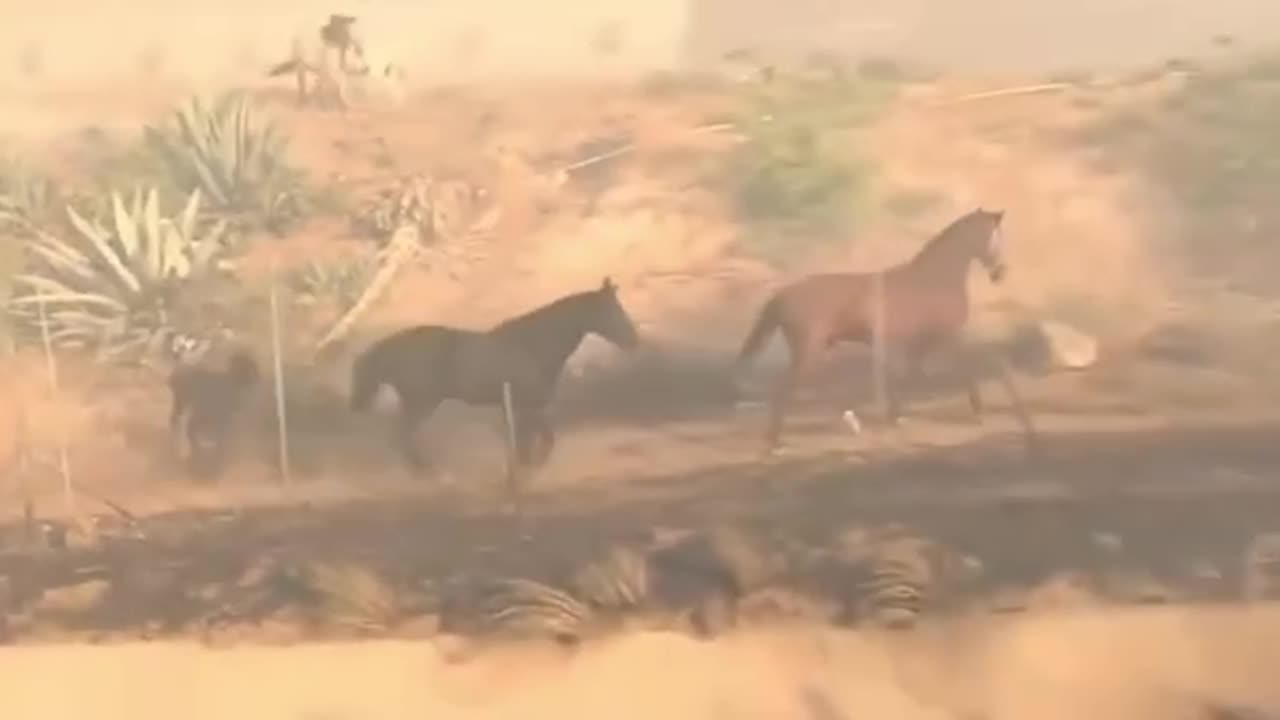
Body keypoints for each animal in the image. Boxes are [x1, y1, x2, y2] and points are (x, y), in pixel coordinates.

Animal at [168, 348, 261, 476]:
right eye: (249, 364)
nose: (257, 376)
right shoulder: (217, 416)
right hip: (186, 405)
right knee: (182, 425)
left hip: (183, 404)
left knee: (178, 422)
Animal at [350, 278, 640, 507]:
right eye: (611, 311)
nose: (633, 340)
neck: (531, 345)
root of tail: (389, 347)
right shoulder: (525, 405)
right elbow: (539, 443)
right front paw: (521, 478)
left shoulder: (525, 407)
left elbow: (533, 443)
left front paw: (517, 480)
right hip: (421, 402)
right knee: (403, 437)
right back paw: (439, 479)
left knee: (403, 439)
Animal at [737, 207, 1034, 450]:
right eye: (994, 237)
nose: (1000, 273)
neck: (934, 278)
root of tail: (782, 294)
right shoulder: (947, 336)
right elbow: (969, 366)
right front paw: (978, 411)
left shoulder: (921, 344)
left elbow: (910, 375)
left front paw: (896, 415)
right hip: (809, 350)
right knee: (786, 387)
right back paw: (775, 441)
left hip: (822, 348)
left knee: (818, 386)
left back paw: (851, 424)